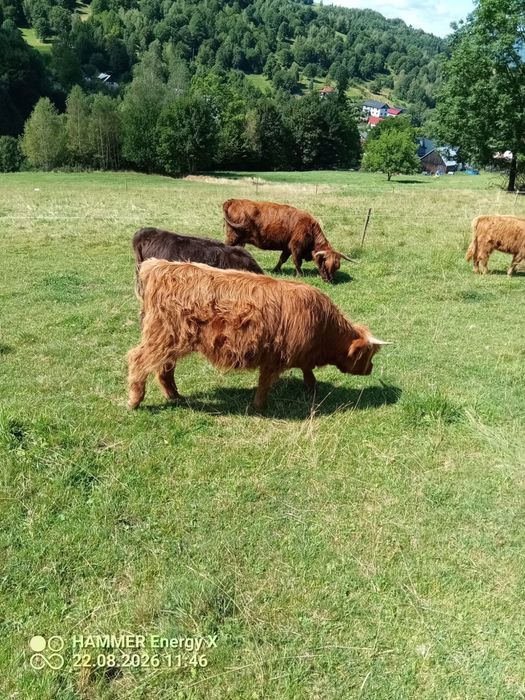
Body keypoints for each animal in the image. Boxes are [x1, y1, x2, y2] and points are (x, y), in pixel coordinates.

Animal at [127, 259, 389, 411]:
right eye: (368, 355)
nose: (371, 369)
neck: (324, 329)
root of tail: (160, 266)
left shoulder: (299, 355)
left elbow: (308, 373)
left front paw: (313, 389)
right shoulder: (275, 357)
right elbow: (265, 383)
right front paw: (259, 406)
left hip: (173, 339)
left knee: (164, 368)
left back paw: (175, 396)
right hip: (163, 335)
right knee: (139, 360)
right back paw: (134, 401)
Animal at [222, 198, 353, 283]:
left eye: (337, 267)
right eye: (326, 264)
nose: (330, 281)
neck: (310, 229)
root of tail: (234, 200)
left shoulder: (287, 248)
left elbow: (282, 259)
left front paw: (276, 270)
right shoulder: (296, 247)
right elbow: (297, 262)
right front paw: (300, 275)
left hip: (240, 240)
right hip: (232, 237)